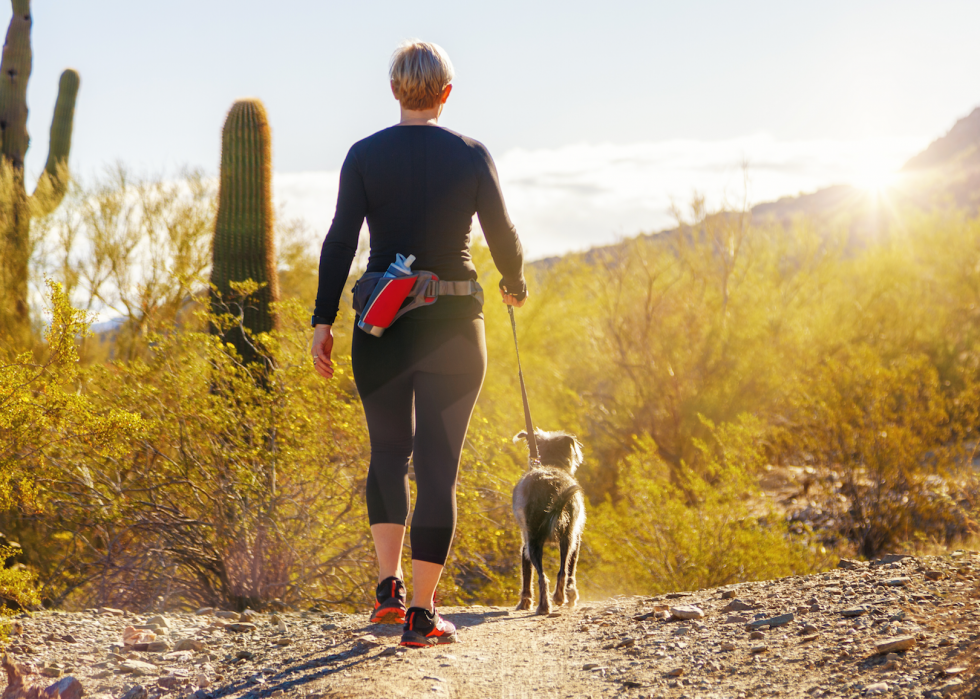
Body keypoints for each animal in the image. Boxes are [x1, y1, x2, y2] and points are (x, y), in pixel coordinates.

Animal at [512, 430, 580, 616]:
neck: (550, 463)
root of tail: (552, 485)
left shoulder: (524, 546)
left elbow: (526, 574)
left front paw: (525, 602)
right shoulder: (576, 540)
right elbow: (571, 570)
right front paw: (571, 596)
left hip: (534, 541)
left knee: (543, 576)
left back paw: (545, 606)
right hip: (566, 538)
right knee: (562, 571)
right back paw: (558, 598)